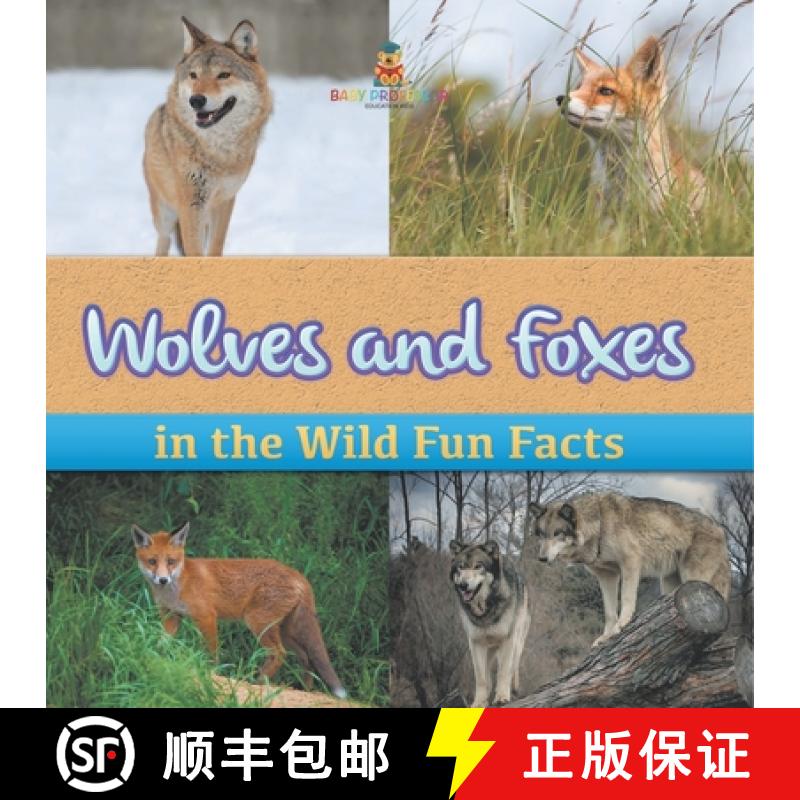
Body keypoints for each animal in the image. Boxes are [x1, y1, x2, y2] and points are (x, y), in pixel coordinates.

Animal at [132, 522, 346, 698]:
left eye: (170, 561)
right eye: (152, 561)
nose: (162, 579)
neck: (178, 586)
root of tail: (298, 575)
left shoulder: (207, 616)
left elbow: (212, 652)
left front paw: (212, 675)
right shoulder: (170, 616)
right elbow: (162, 643)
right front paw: (155, 659)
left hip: (258, 622)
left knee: (280, 653)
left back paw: (258, 683)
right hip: (284, 630)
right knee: (305, 656)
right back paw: (305, 689)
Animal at [143, 17, 273, 256]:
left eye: (223, 75)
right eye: (193, 75)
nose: (196, 100)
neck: (218, 152)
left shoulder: (225, 200)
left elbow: (215, 248)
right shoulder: (191, 204)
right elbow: (194, 252)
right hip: (164, 212)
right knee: (163, 240)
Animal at [449, 539, 531, 706]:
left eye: (478, 566)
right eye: (460, 567)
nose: (463, 585)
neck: (485, 611)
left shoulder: (508, 640)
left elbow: (503, 672)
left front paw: (502, 697)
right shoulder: (475, 643)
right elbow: (481, 679)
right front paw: (479, 703)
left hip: (517, 643)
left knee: (512, 667)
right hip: (489, 650)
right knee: (488, 676)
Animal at [529, 493, 731, 647]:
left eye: (558, 533)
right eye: (541, 534)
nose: (541, 558)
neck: (599, 526)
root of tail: (720, 530)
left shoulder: (630, 562)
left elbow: (626, 598)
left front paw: (622, 625)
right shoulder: (607, 576)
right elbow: (609, 612)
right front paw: (606, 637)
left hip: (693, 578)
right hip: (669, 586)